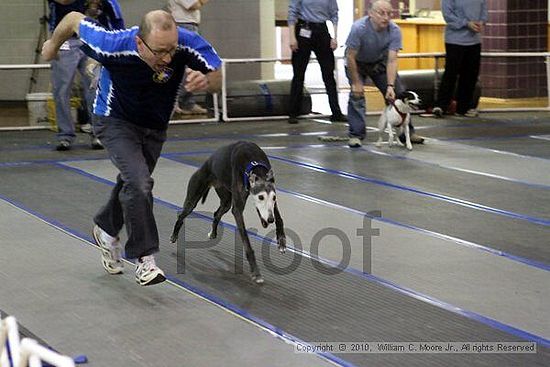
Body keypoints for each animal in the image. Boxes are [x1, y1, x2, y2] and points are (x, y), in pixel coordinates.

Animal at [170, 141, 286, 284]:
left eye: (274, 197)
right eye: (260, 197)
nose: (270, 219)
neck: (253, 163)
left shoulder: (272, 202)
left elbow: (279, 218)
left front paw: (281, 241)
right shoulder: (237, 210)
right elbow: (246, 242)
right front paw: (256, 272)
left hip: (225, 200)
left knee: (217, 213)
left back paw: (213, 233)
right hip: (193, 198)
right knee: (181, 215)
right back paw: (174, 235)